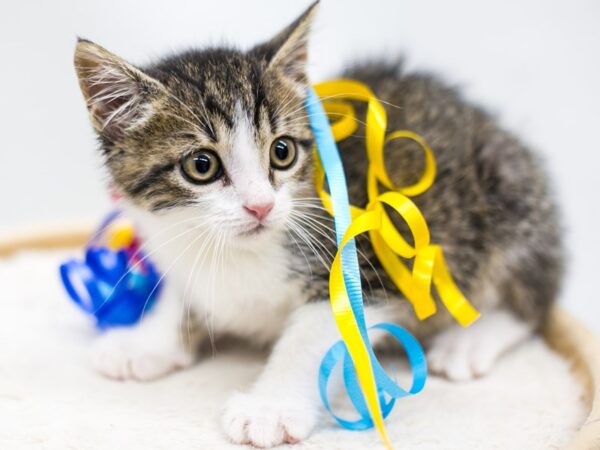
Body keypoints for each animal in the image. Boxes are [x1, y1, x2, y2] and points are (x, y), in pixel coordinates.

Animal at [71, 0, 564, 446]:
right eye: (201, 165)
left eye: (282, 152)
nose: (261, 206)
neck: (237, 251)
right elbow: (181, 296)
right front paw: (145, 344)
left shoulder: (366, 258)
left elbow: (313, 334)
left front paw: (269, 408)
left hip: (507, 196)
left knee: (532, 297)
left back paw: (471, 341)